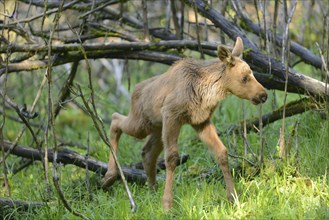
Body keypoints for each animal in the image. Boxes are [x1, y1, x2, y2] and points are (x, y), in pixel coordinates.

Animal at [102, 37, 266, 210]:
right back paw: (109, 177)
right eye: (244, 78)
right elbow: (172, 158)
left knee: (147, 152)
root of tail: (135, 90)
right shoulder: (172, 115)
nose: (263, 95)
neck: (207, 91)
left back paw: (152, 191)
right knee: (115, 120)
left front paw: (233, 197)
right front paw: (167, 204)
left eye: (252, 73)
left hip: (157, 127)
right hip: (141, 124)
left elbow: (221, 152)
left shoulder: (201, 121)